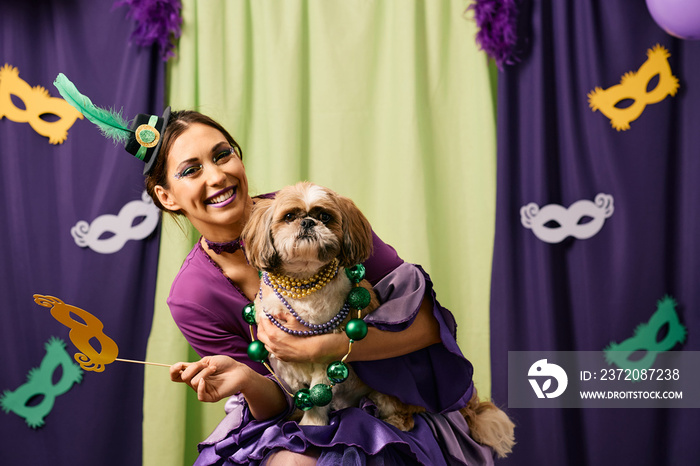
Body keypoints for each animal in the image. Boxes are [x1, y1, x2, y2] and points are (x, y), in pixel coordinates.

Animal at [241, 184, 516, 456]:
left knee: (403, 414)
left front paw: (312, 426)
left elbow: (319, 397)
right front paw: (300, 414)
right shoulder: (285, 364)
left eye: (325, 217)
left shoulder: (323, 360)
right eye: (289, 216)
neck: (303, 285)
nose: (308, 222)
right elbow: (301, 393)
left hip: (390, 391)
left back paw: (394, 421)